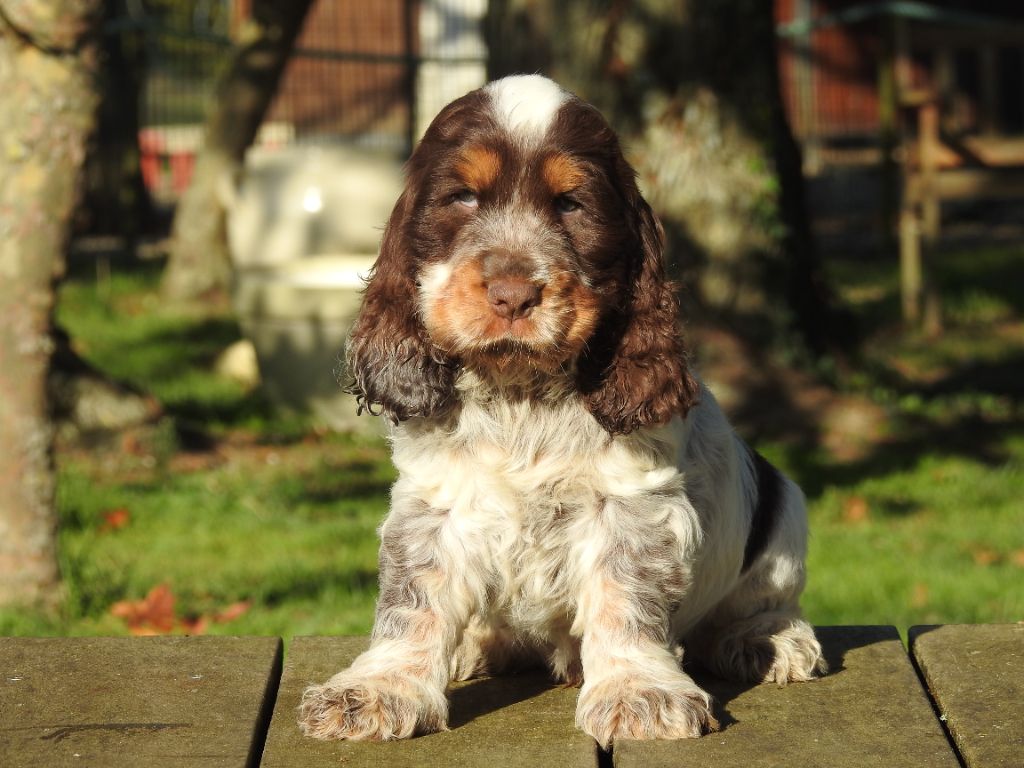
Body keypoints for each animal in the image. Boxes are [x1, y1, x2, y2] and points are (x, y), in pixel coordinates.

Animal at [299, 75, 827, 749]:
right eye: (462, 197)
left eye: (572, 205)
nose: (512, 294)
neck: (520, 392)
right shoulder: (436, 502)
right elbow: (412, 599)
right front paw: (378, 689)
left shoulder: (632, 503)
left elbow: (625, 599)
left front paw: (639, 692)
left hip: (785, 516)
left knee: (762, 599)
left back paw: (767, 640)